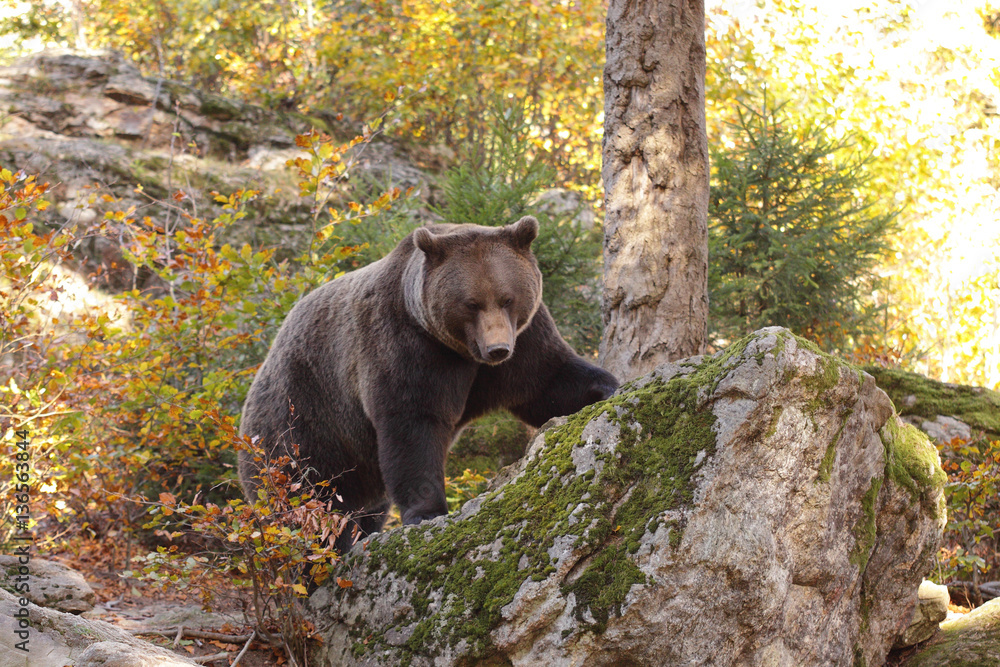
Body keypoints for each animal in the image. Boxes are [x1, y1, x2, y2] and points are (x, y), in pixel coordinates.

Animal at [237, 215, 619, 551]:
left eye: (508, 298)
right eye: (471, 303)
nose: (497, 348)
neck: (462, 352)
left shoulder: (522, 342)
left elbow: (546, 381)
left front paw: (608, 387)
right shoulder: (407, 345)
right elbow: (413, 422)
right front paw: (427, 511)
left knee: (363, 507)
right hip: (300, 425)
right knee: (311, 499)